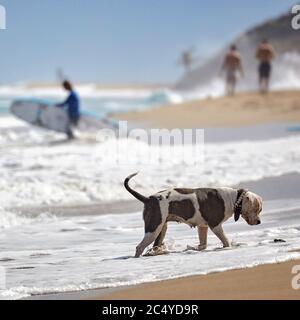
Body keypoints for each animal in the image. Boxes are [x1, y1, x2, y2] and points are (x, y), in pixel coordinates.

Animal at [124, 172, 262, 258]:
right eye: (257, 209)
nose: (259, 222)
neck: (234, 199)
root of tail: (148, 199)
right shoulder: (215, 225)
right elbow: (226, 241)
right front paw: (227, 247)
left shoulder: (203, 226)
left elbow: (203, 244)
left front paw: (194, 248)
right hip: (153, 228)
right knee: (139, 247)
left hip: (161, 228)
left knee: (154, 245)